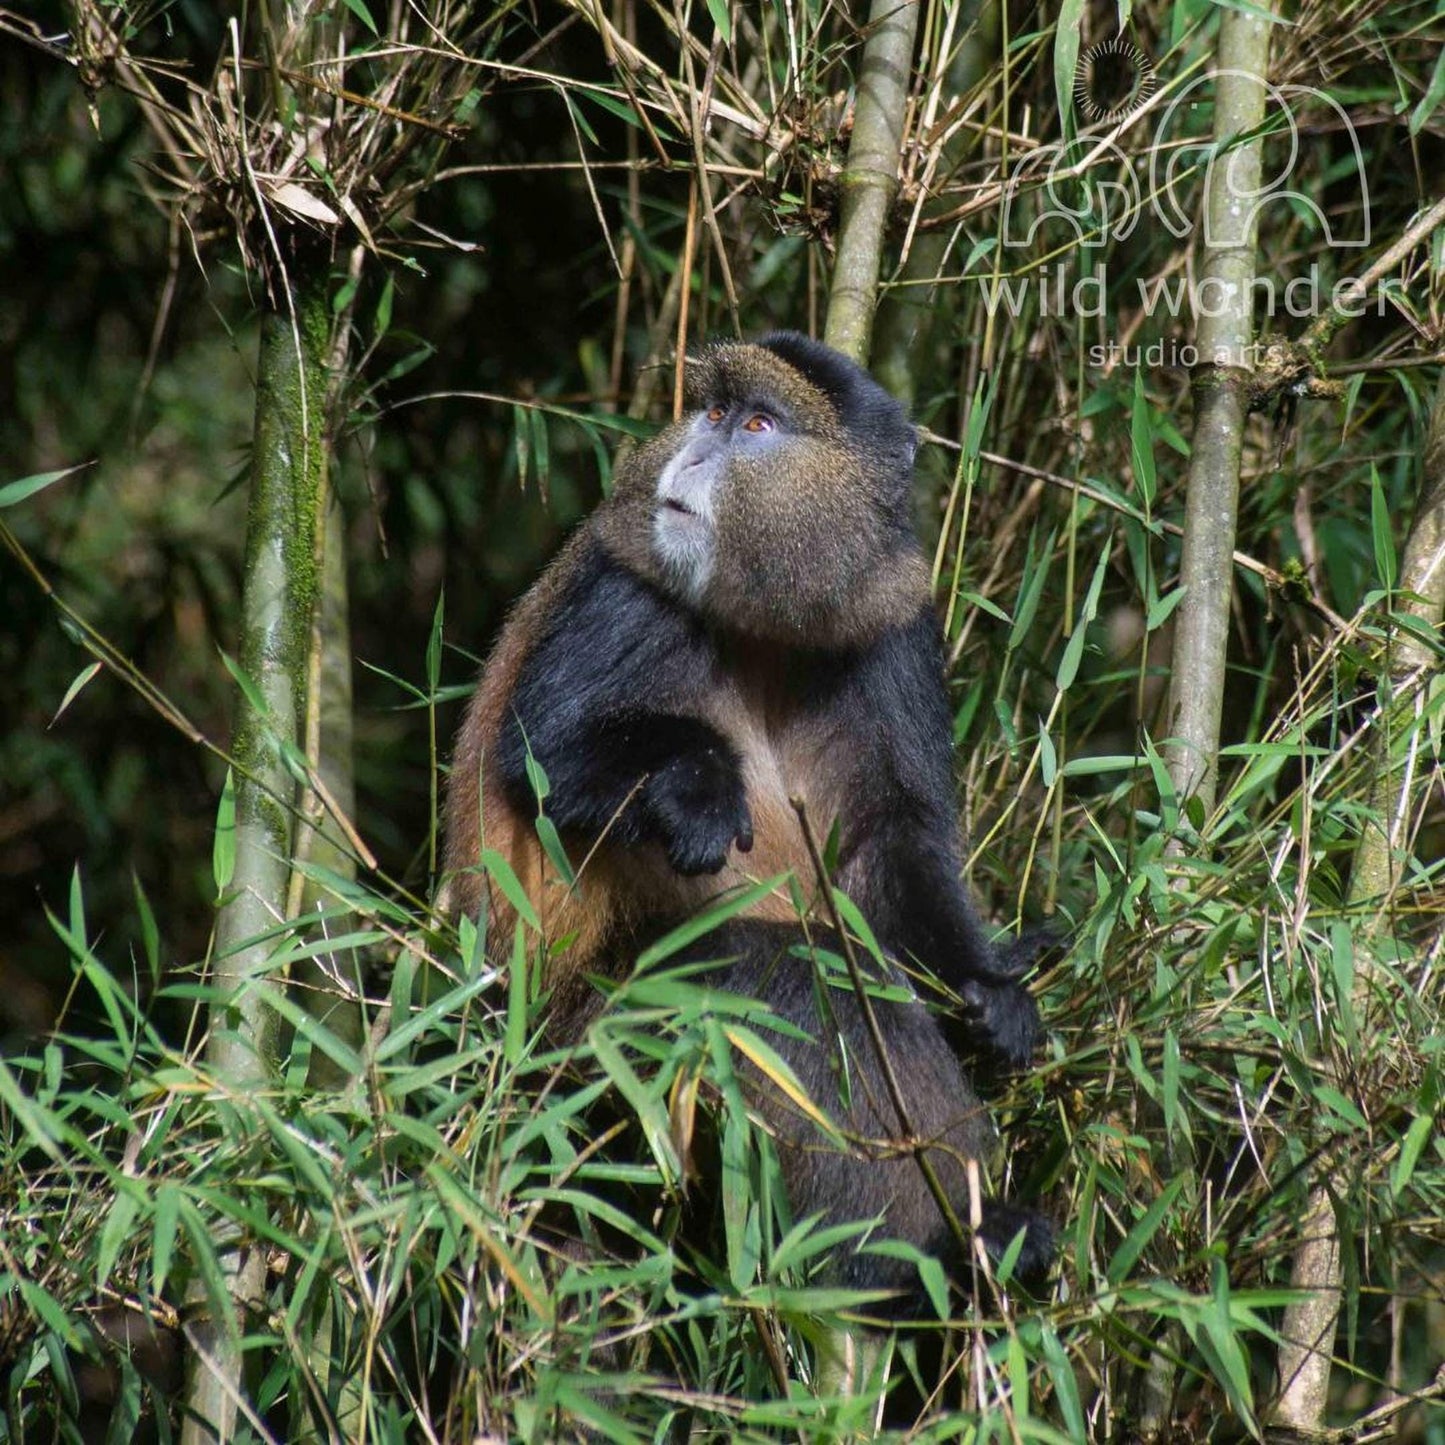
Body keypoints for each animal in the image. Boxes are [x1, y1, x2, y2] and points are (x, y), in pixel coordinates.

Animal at [442, 331, 1052, 1308]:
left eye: (757, 426)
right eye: (715, 411)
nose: (692, 452)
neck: (765, 622)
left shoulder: (893, 623)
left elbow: (893, 845)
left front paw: (989, 992)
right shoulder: (628, 587)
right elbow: (540, 753)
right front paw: (696, 786)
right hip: (581, 1047)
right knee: (780, 972)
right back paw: (921, 1251)